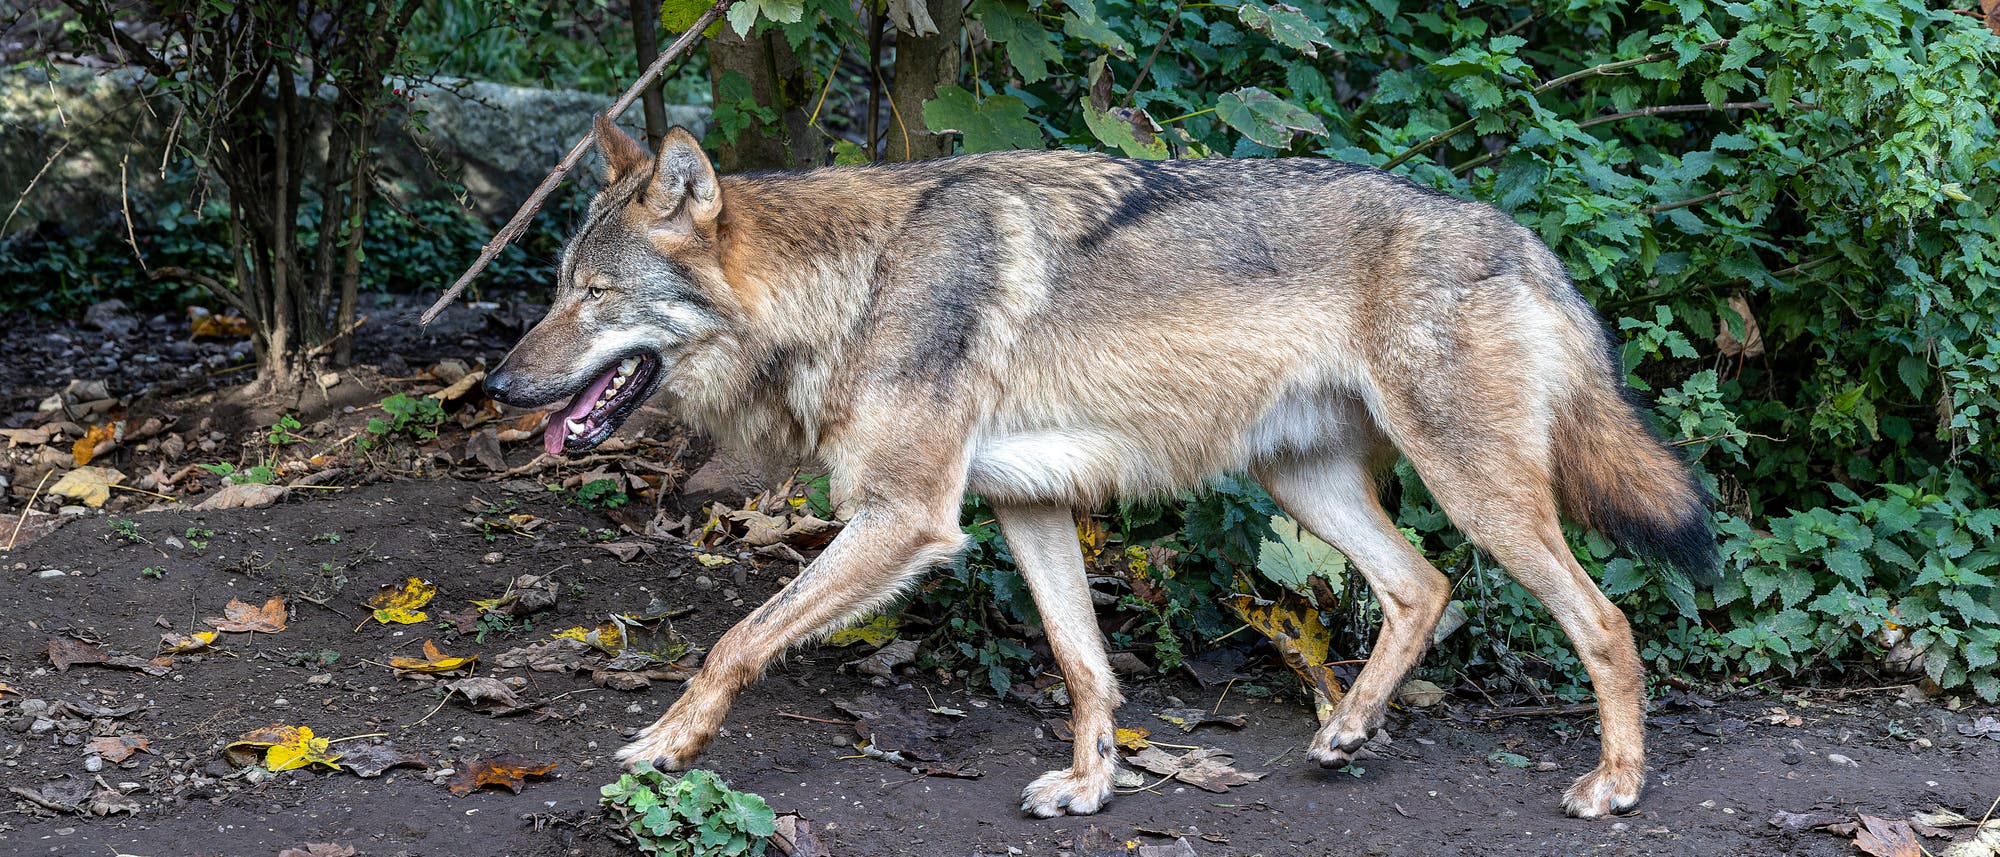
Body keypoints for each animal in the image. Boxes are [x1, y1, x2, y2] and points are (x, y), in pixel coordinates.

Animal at [483, 116, 1719, 819]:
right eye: (555, 288)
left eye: (591, 294)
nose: (496, 385)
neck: (856, 285)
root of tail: (1519, 236)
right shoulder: (1026, 506)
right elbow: (1086, 666)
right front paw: (1090, 783)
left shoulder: (905, 517)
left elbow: (733, 642)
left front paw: (663, 743)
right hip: (1308, 486)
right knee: (1423, 586)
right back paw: (1342, 733)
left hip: (1476, 490)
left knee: (1607, 621)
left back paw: (1614, 783)